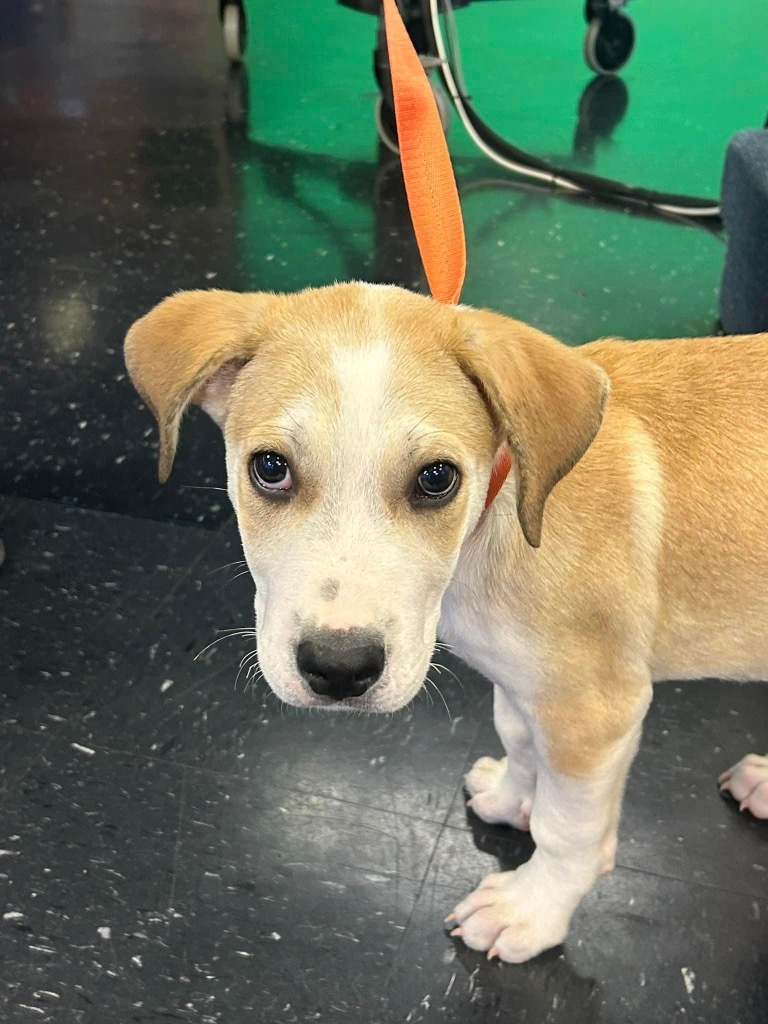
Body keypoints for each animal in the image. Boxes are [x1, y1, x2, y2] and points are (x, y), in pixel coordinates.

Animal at [126, 282, 768, 966]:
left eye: (437, 479)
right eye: (270, 468)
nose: (339, 670)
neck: (500, 511)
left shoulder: (594, 710)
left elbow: (568, 832)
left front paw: (530, 910)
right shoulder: (525, 684)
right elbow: (518, 738)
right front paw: (514, 797)